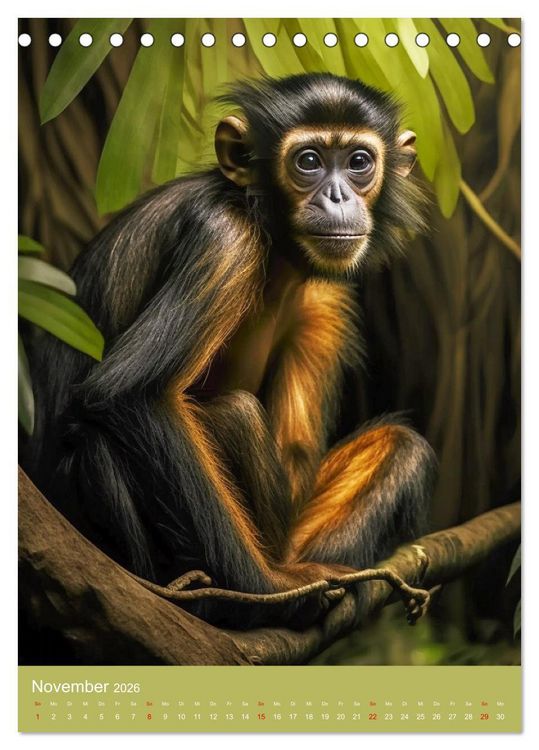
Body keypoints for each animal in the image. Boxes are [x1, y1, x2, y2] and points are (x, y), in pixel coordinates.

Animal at [27, 73, 437, 629]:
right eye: (308, 161)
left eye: (358, 161)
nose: (337, 196)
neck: (268, 234)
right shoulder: (225, 240)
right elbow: (134, 393)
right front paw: (268, 589)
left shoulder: (326, 297)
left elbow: (297, 455)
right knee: (128, 439)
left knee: (400, 447)